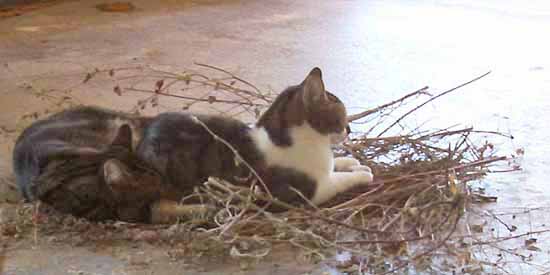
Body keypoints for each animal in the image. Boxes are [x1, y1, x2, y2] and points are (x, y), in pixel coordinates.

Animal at [137, 68, 376, 212]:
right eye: (341, 117)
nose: (349, 130)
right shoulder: (312, 190)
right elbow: (340, 179)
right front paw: (362, 173)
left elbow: (337, 164)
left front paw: (351, 162)